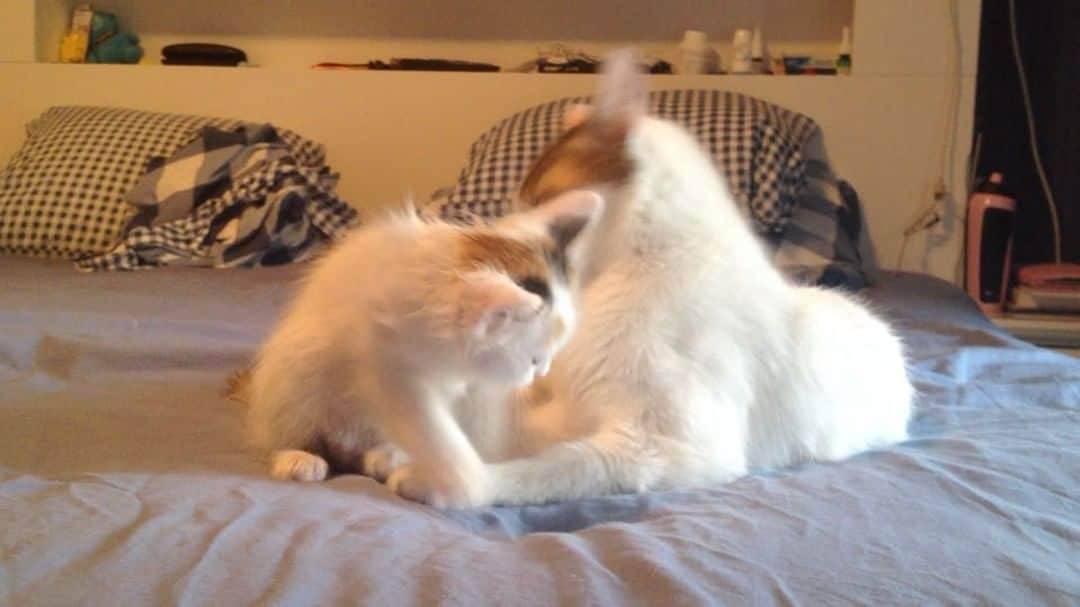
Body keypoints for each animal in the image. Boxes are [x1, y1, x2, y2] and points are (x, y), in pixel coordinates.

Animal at [245, 189, 604, 505]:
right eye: (533, 360)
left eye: (545, 360)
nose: (541, 374)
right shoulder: (383, 366)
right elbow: (434, 431)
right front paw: (465, 484)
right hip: (298, 363)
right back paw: (299, 456)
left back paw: (384, 455)